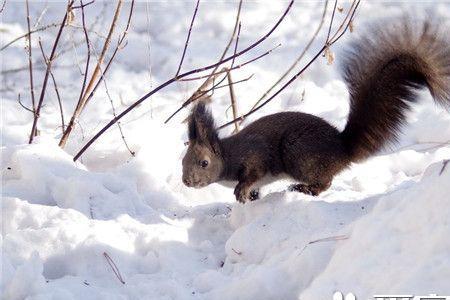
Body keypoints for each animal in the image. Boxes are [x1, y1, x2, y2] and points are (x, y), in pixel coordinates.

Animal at [181, 17, 448, 204]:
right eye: (183, 160)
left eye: (204, 163)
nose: (186, 181)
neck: (228, 154)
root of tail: (342, 149)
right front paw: (249, 197)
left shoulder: (255, 155)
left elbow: (254, 174)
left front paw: (241, 190)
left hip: (298, 154)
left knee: (326, 181)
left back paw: (305, 188)